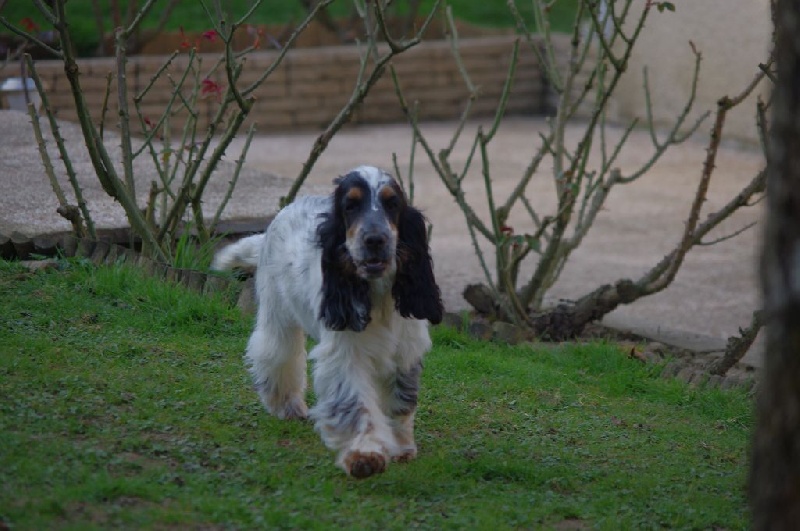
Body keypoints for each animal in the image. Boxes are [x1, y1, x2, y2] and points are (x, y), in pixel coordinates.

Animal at [212, 166, 444, 478]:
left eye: (392, 203)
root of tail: (281, 213)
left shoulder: (405, 349)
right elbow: (355, 404)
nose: (375, 240)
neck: (376, 294)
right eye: (350, 205)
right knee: (275, 354)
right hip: (277, 314)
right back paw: (287, 406)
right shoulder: (345, 353)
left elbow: (400, 400)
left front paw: (401, 446)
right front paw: (364, 454)